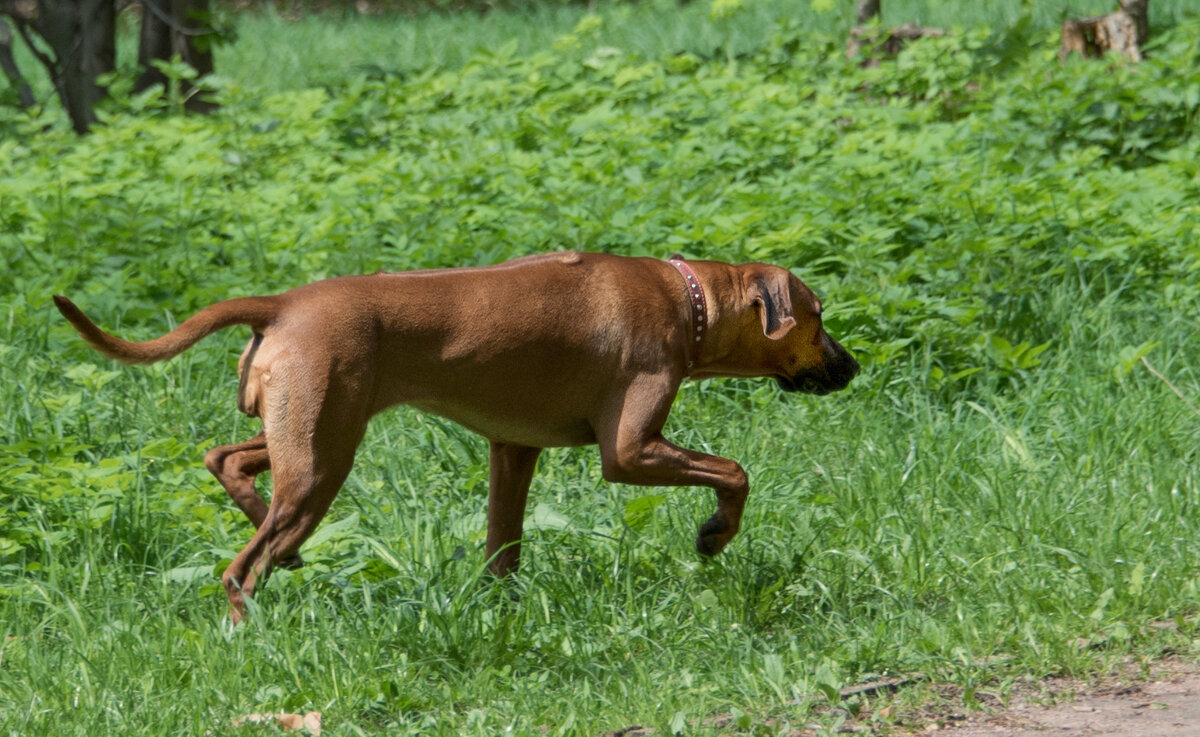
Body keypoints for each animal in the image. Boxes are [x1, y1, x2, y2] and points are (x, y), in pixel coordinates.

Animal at [56, 250, 859, 619]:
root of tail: (282, 304)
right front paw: (715, 535)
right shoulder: (629, 452)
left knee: (226, 460)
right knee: (240, 567)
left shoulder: (514, 451)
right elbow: (736, 471)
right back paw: (250, 621)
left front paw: (502, 613)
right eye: (819, 317)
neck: (686, 299)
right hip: (324, 463)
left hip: (306, 441)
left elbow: (503, 547)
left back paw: (275, 541)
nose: (852, 368)